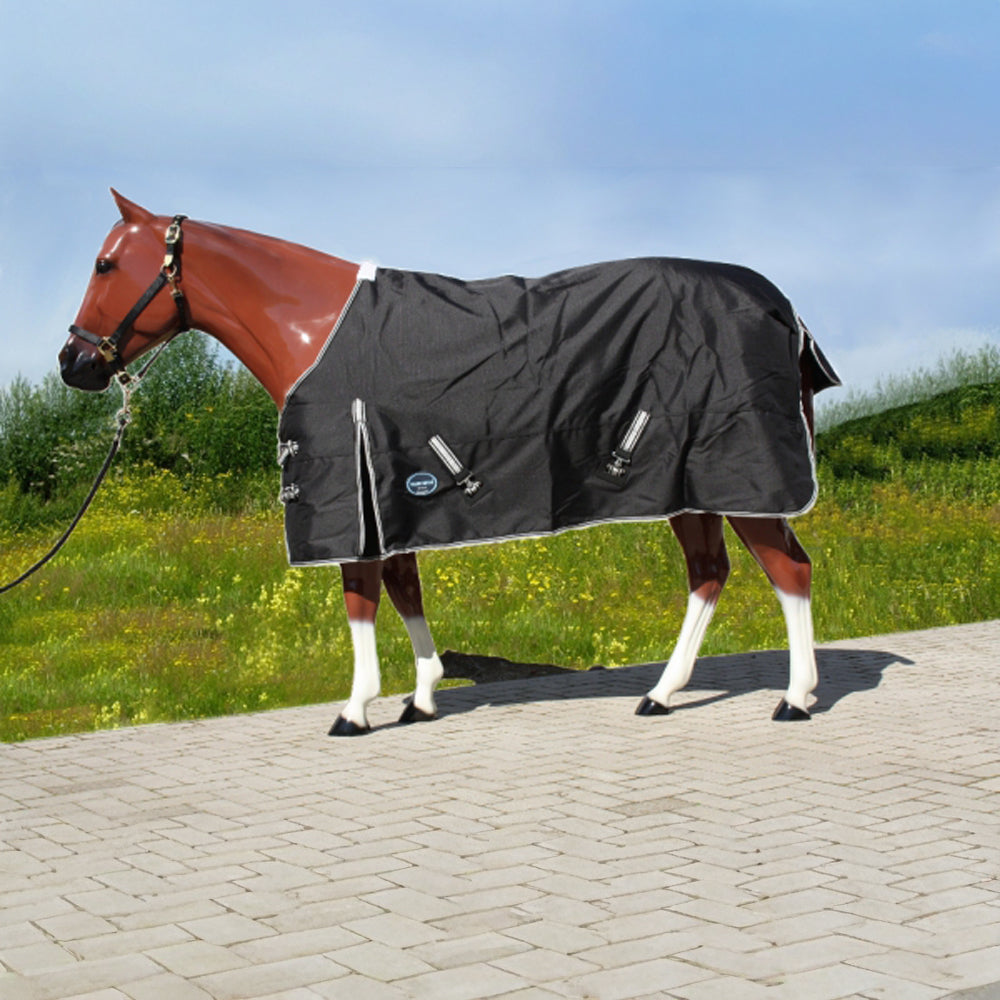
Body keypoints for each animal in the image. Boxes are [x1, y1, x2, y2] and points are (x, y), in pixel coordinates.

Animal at [59, 190, 840, 735]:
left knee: (789, 572)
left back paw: (795, 699)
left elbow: (360, 597)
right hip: (691, 488)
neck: (315, 331)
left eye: (104, 263)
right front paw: (424, 697)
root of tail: (782, 310)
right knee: (710, 575)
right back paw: (661, 694)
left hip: (742, 480)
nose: (74, 364)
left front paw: (355, 710)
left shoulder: (351, 496)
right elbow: (403, 589)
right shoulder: (387, 494)